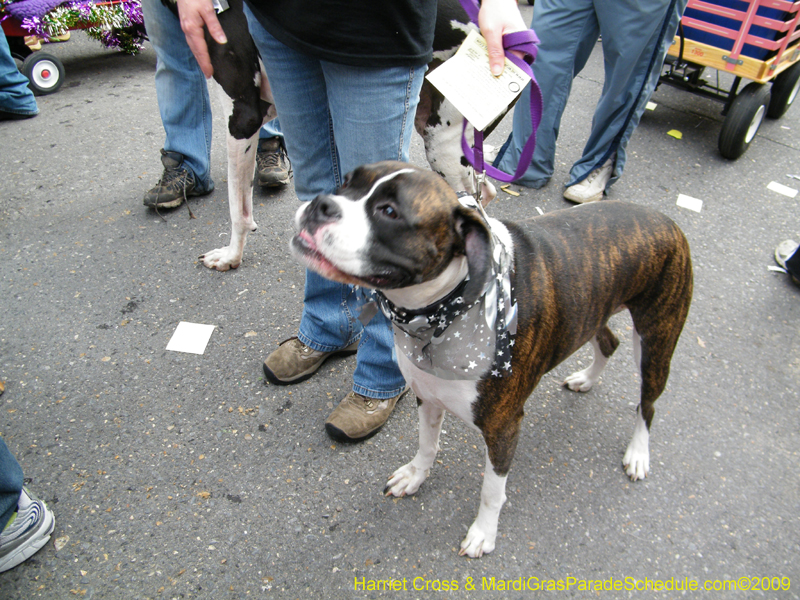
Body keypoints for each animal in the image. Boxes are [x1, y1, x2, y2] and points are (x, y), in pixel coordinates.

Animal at [290, 161, 692, 556]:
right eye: (346, 183)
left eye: (389, 212)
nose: (321, 204)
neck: (441, 311)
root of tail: (668, 221)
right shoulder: (427, 397)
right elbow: (427, 444)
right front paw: (415, 476)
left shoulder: (503, 428)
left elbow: (491, 491)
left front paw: (484, 533)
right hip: (593, 310)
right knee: (608, 342)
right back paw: (587, 379)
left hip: (656, 341)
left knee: (647, 403)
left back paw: (638, 453)